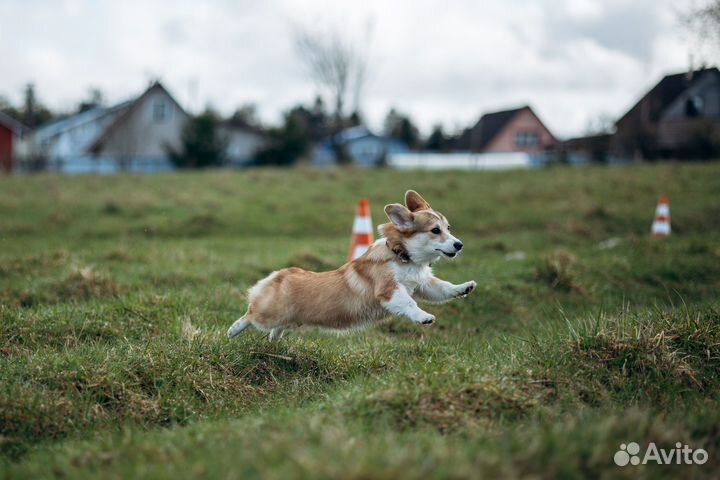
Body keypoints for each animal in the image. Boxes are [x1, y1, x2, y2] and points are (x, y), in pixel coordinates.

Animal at [228, 188, 476, 342]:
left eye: (448, 228)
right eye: (435, 230)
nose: (460, 245)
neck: (403, 256)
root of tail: (279, 275)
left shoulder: (424, 285)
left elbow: (444, 288)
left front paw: (465, 287)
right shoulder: (389, 290)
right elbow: (409, 303)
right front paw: (424, 317)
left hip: (288, 319)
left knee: (276, 327)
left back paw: (273, 339)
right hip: (268, 313)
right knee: (250, 315)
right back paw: (232, 331)